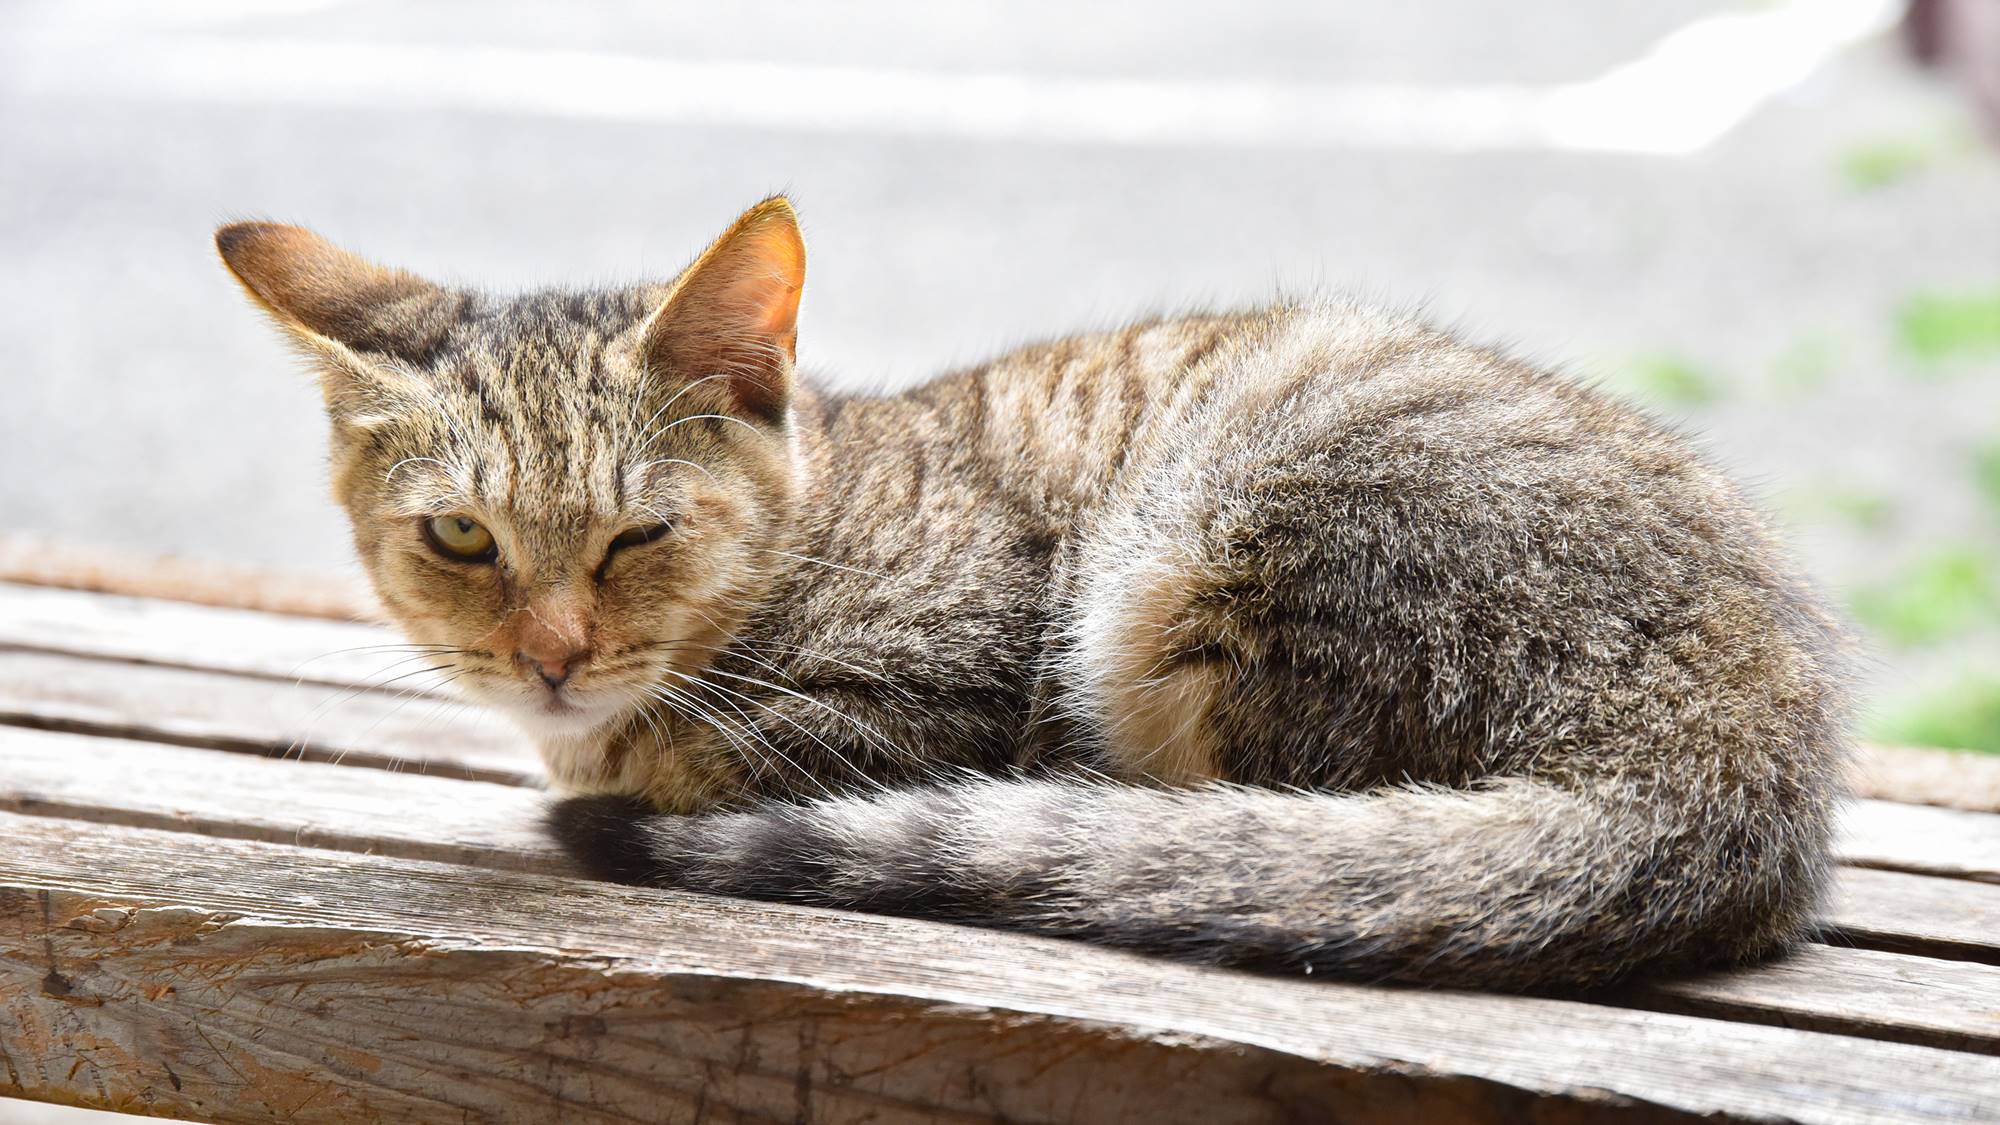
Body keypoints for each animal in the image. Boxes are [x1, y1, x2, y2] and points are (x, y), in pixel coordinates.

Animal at [211, 197, 1848, 984]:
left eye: (635, 538)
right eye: (460, 538)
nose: (551, 658)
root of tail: (1743, 737)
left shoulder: (936, 697)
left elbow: (697, 757)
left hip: (1210, 574)